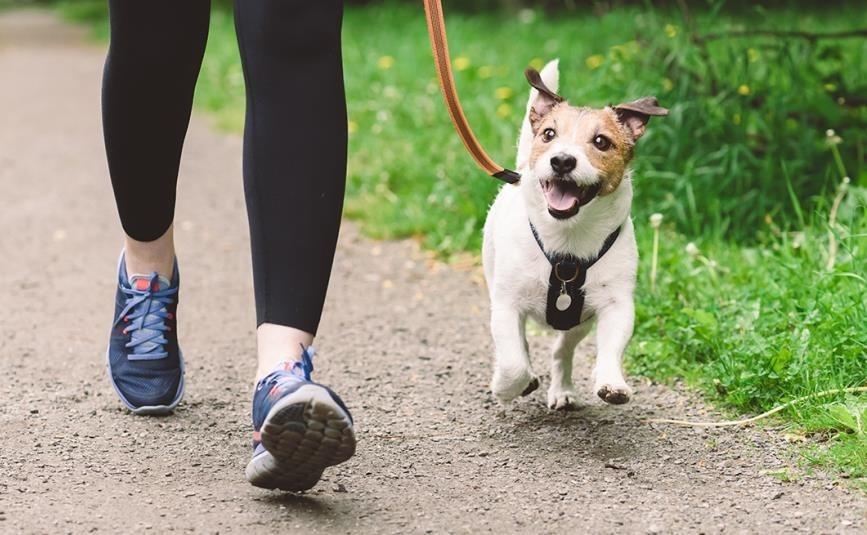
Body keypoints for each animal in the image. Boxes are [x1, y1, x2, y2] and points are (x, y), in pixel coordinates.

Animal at [482, 60, 667, 410]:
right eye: (549, 134)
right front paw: (505, 386)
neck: (567, 241)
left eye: (601, 142)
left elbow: (611, 348)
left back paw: (562, 389)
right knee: (521, 347)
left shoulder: (615, 305)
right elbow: (513, 362)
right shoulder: (506, 304)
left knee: (561, 350)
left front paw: (612, 382)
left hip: (577, 323)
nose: (562, 160)